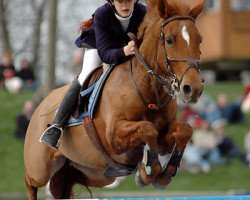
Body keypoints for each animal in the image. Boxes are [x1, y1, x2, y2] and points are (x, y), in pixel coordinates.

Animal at [23, 0, 204, 198]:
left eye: (200, 39)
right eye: (169, 40)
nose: (193, 89)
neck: (148, 89)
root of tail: (40, 105)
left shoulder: (164, 138)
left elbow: (184, 131)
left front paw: (164, 173)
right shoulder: (114, 136)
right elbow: (147, 129)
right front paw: (148, 171)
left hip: (91, 173)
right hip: (40, 168)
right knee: (31, 182)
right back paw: (51, 135)